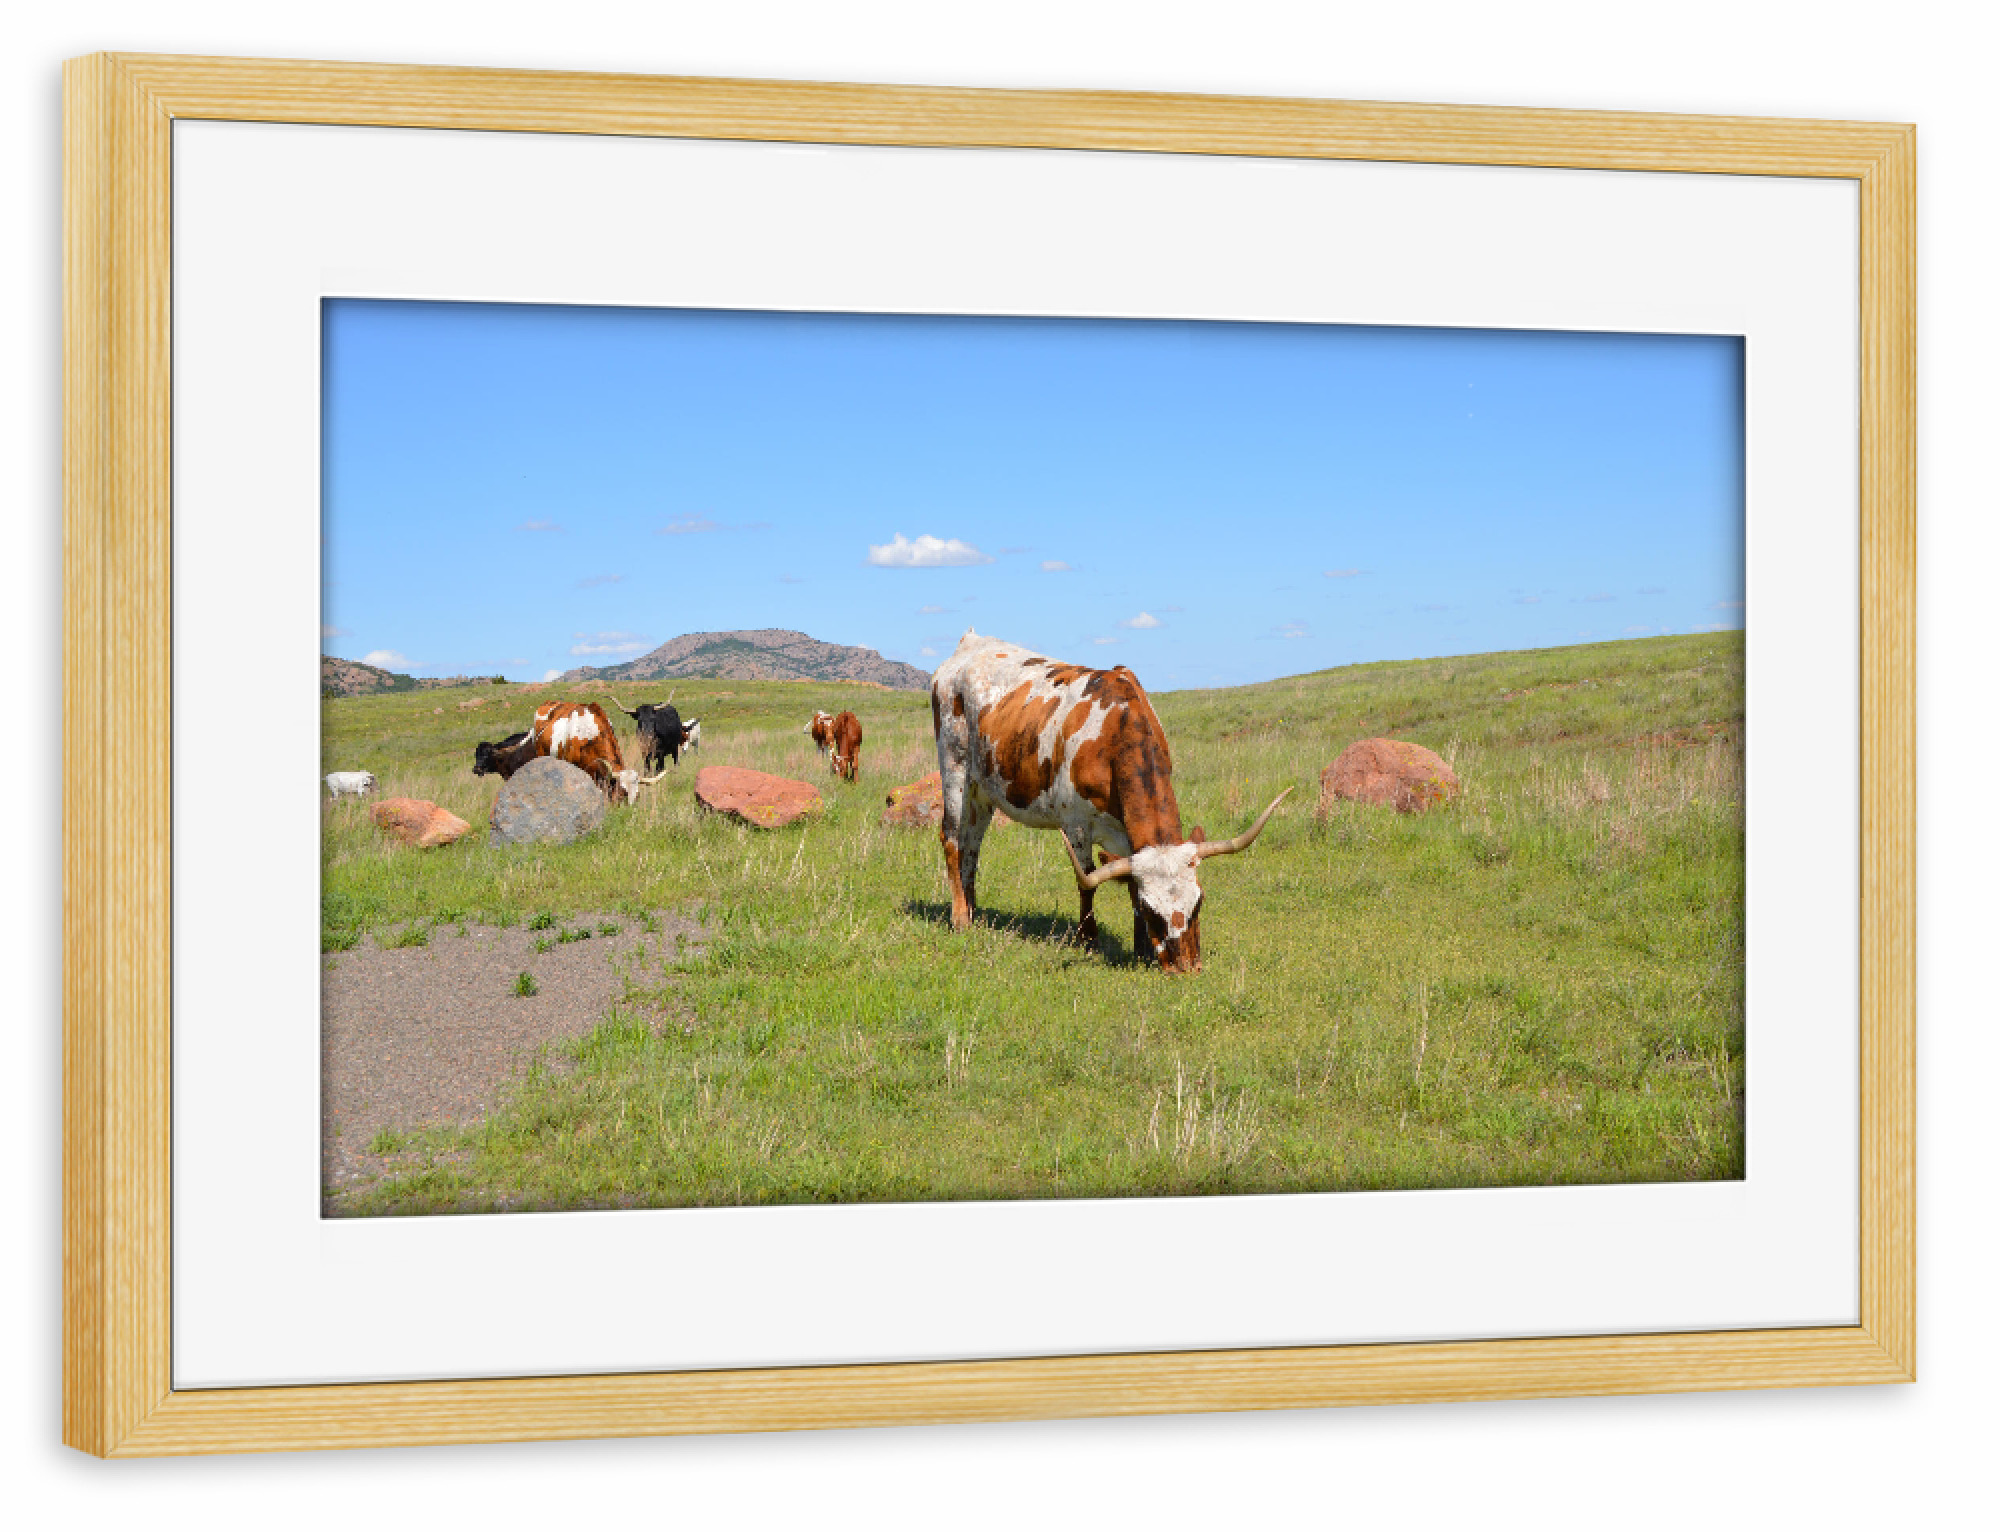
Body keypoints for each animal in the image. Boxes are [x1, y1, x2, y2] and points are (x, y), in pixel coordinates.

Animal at [929, 630, 1288, 974]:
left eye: (1198, 902)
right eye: (1153, 911)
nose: (1186, 968)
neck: (1117, 730)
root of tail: (970, 642)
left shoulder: (1127, 834)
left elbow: (1129, 882)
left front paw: (1142, 949)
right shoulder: (1075, 824)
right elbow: (1087, 880)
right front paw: (1089, 940)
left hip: (982, 793)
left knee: (972, 848)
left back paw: (973, 911)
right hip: (954, 770)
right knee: (951, 839)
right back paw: (960, 918)